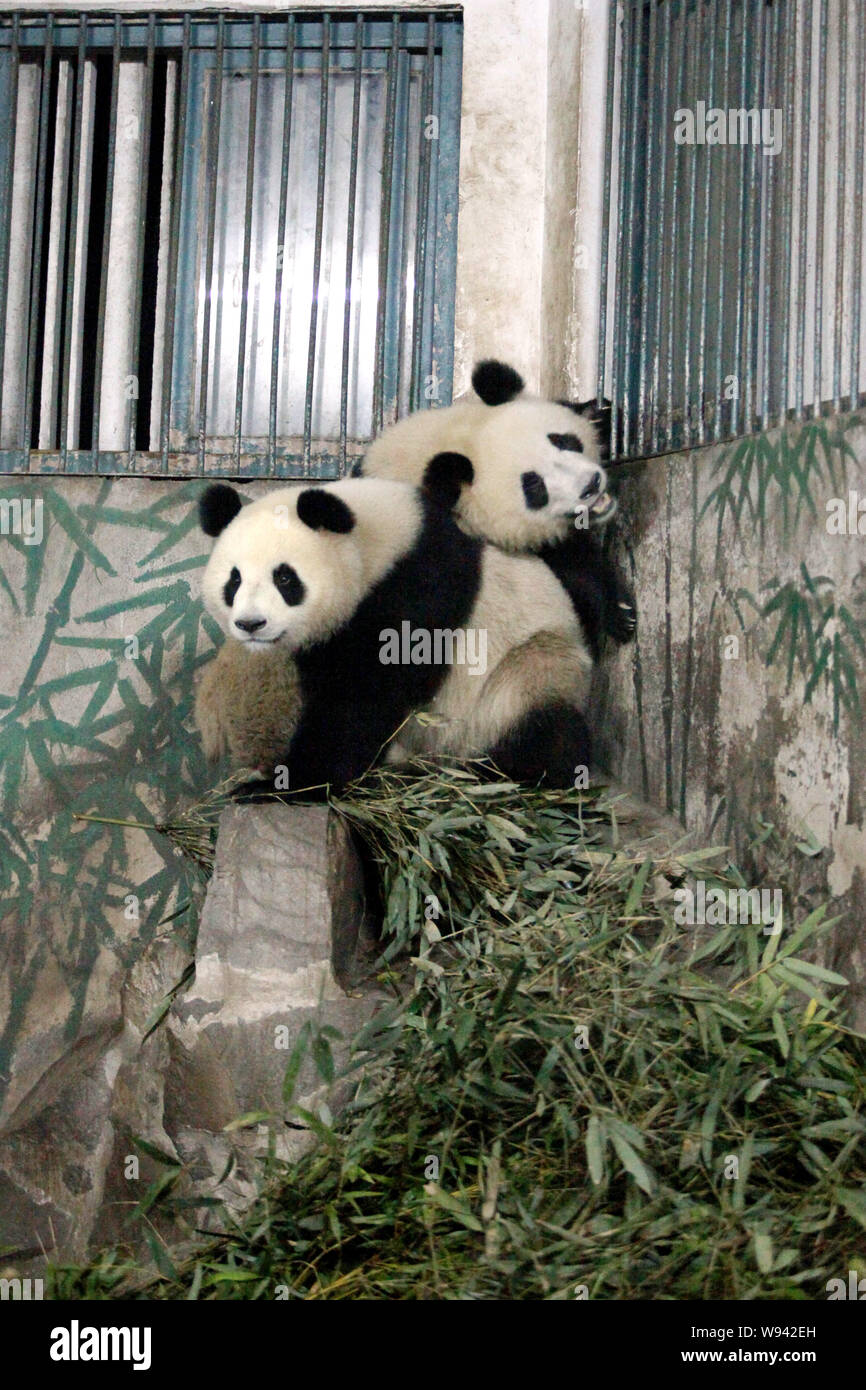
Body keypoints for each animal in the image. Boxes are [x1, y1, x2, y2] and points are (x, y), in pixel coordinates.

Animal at [198, 475, 594, 795]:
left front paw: (290, 784)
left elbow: (364, 699)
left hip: (524, 667)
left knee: (535, 716)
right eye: (234, 580)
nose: (250, 624)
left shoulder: (415, 589)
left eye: (284, 578)